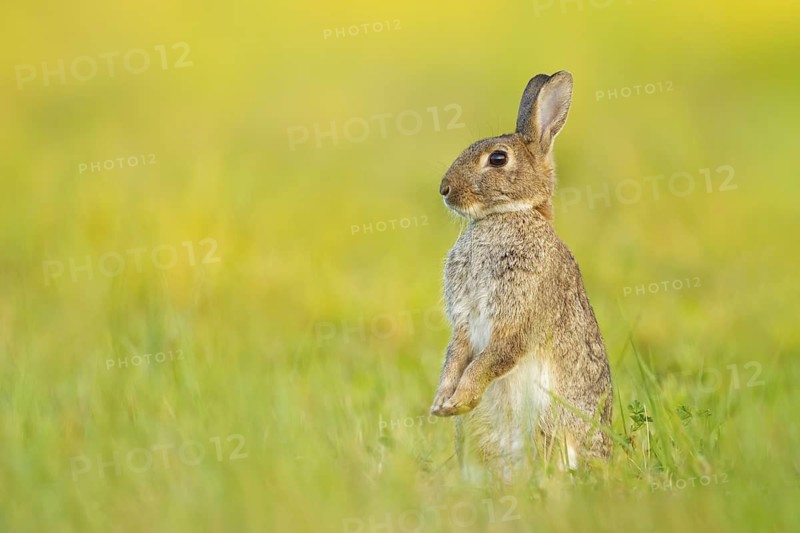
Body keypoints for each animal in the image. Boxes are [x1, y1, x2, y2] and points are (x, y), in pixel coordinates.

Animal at [429, 71, 612, 481]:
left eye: (498, 158)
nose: (445, 189)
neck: (508, 215)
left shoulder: (518, 316)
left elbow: (490, 358)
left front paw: (459, 400)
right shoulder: (464, 321)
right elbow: (456, 355)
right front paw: (442, 403)